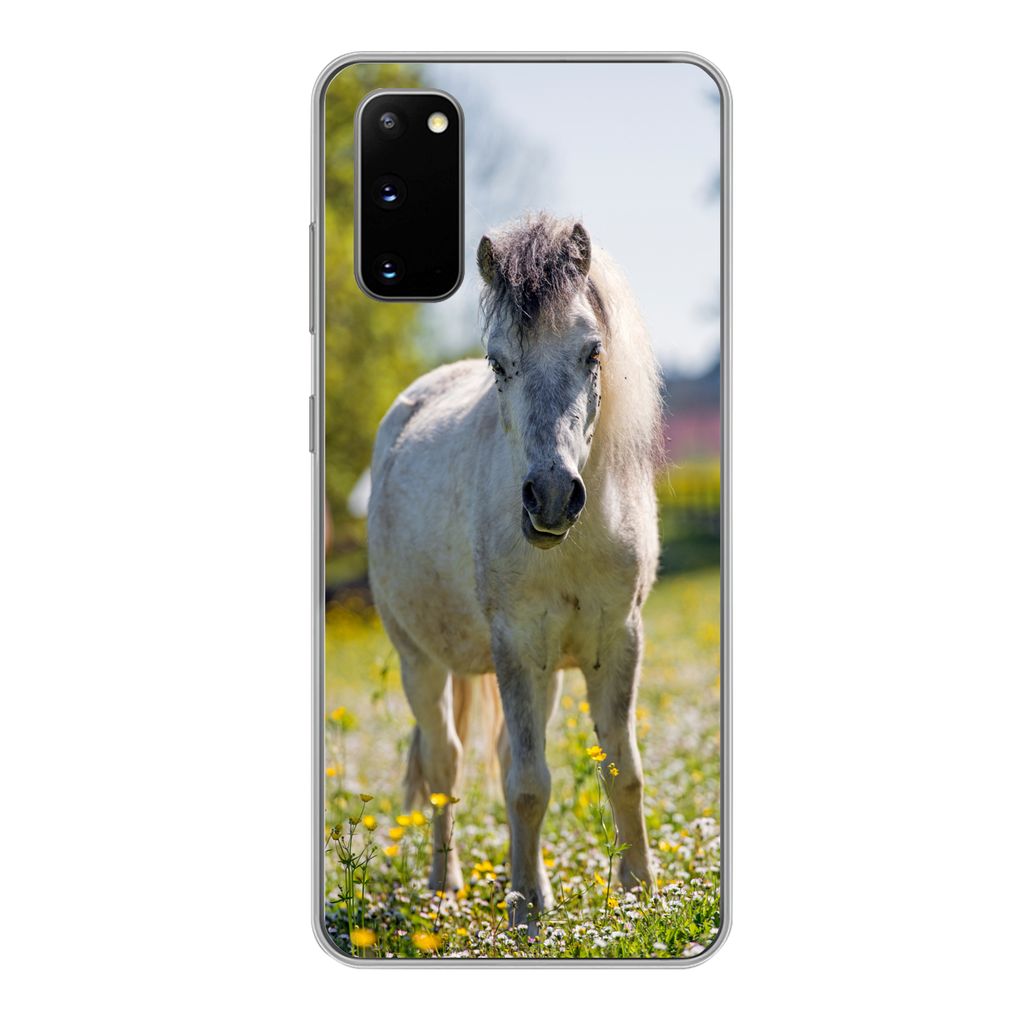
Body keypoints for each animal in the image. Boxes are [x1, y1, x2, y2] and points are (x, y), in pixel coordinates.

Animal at [367, 213, 662, 927]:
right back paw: (445, 886)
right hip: (422, 661)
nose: (551, 497)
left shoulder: (619, 641)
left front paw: (639, 893)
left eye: (592, 352)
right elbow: (529, 784)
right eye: (499, 363)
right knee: (445, 763)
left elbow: (624, 771)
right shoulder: (516, 647)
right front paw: (527, 911)